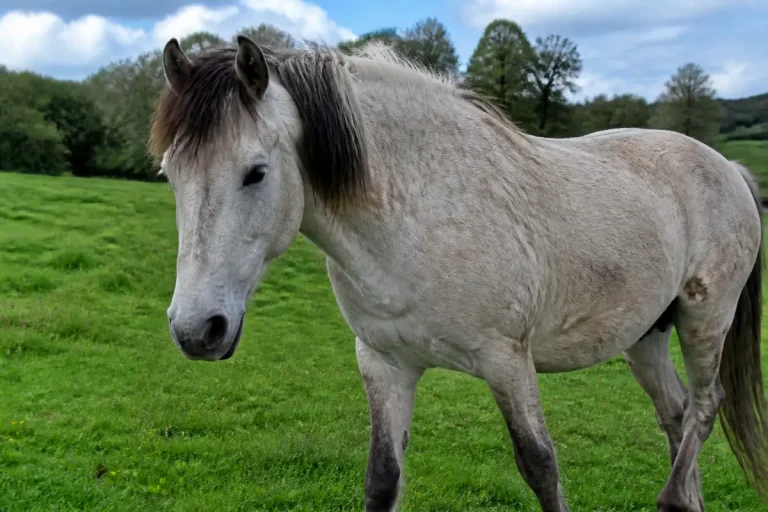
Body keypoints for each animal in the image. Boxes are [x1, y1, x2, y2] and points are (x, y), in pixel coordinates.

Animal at [151, 35, 768, 512]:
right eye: (170, 173)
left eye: (255, 172)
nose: (195, 330)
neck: (416, 218)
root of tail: (729, 167)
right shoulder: (384, 364)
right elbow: (382, 480)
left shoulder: (508, 363)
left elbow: (540, 467)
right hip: (645, 337)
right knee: (676, 413)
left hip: (705, 319)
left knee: (705, 406)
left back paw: (675, 496)